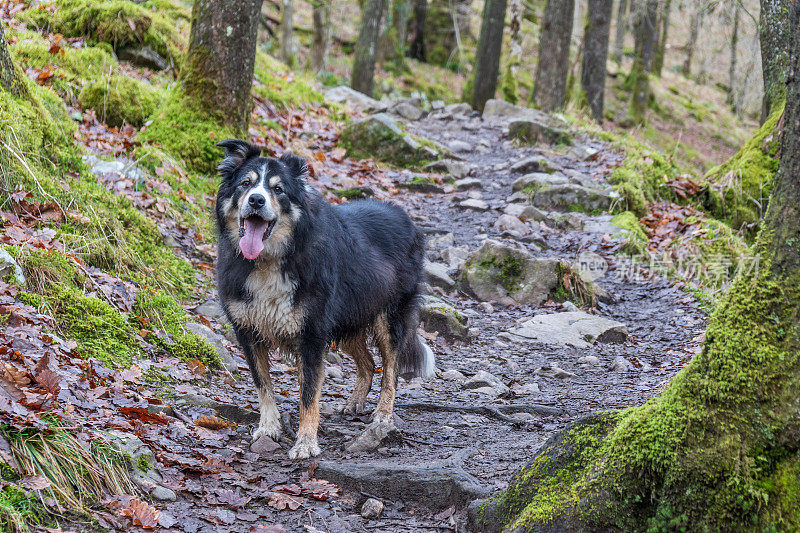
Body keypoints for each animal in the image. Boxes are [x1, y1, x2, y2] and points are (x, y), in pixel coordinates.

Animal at [216, 138, 434, 458]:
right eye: (246, 183)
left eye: (278, 189)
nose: (256, 200)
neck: (271, 260)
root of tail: (404, 216)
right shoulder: (248, 330)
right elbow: (263, 385)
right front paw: (268, 428)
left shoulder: (312, 334)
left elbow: (309, 394)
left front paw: (306, 442)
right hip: (348, 317)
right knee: (368, 363)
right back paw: (354, 402)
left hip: (388, 317)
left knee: (390, 371)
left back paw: (383, 416)